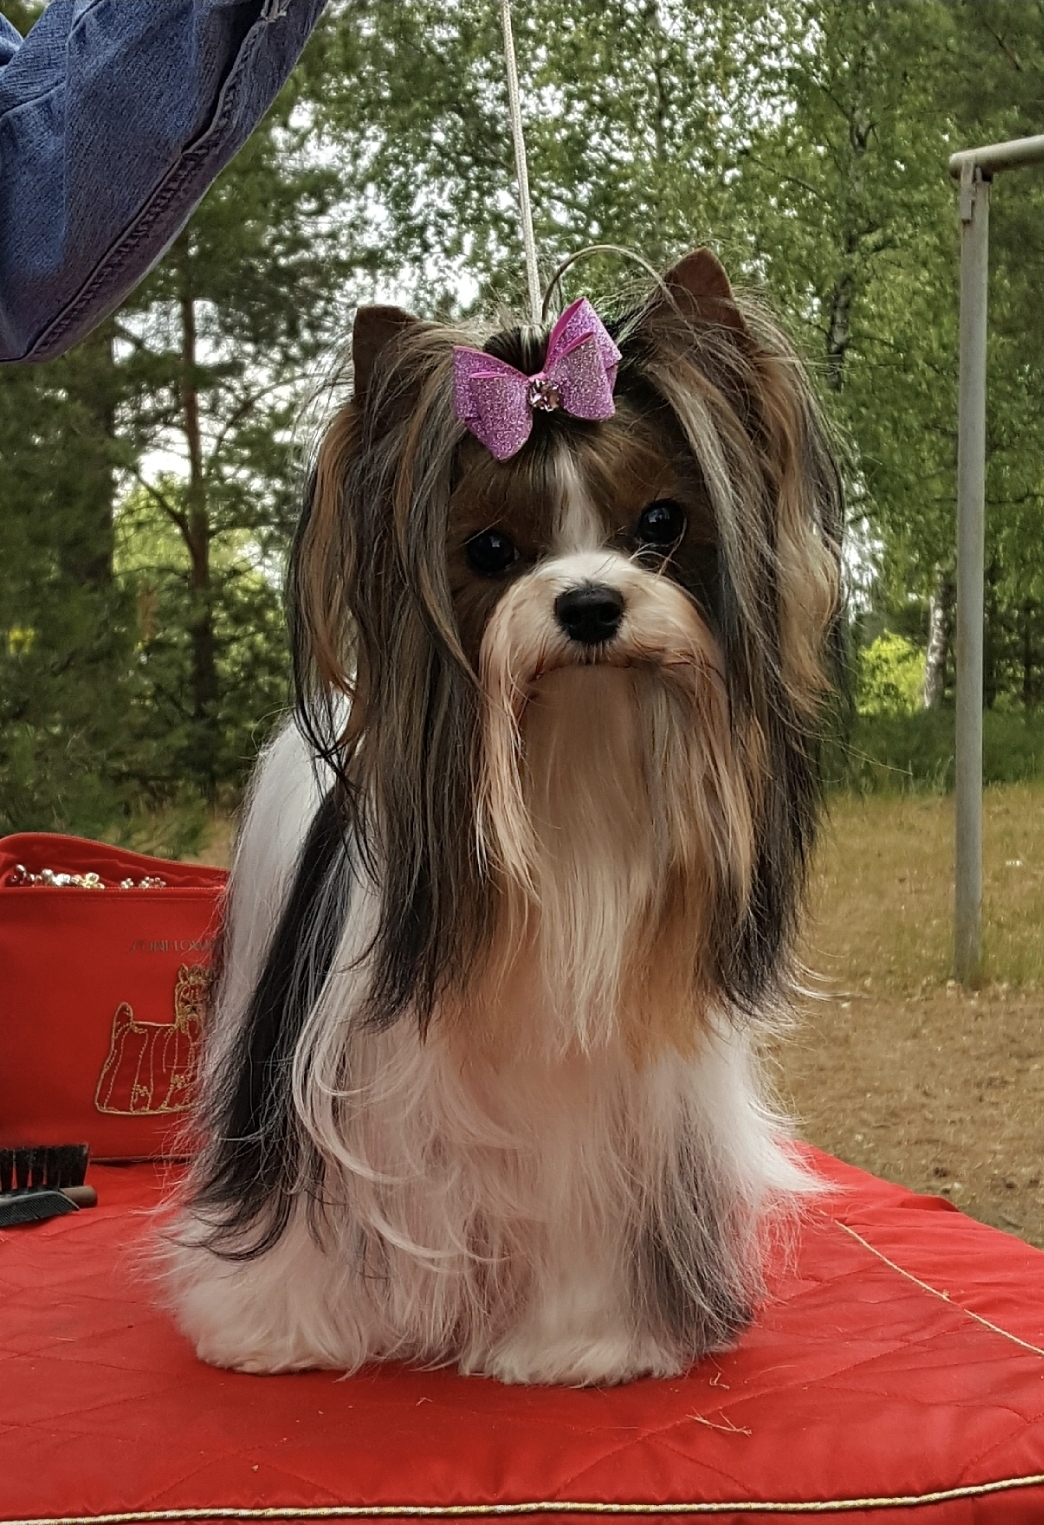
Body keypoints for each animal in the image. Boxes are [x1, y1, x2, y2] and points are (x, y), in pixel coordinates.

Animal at [163, 248, 842, 1386]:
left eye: (661, 524)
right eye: (488, 549)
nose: (589, 604)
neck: (573, 764)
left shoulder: (603, 1103)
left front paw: (580, 1340)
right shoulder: (329, 1082)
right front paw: (279, 1329)